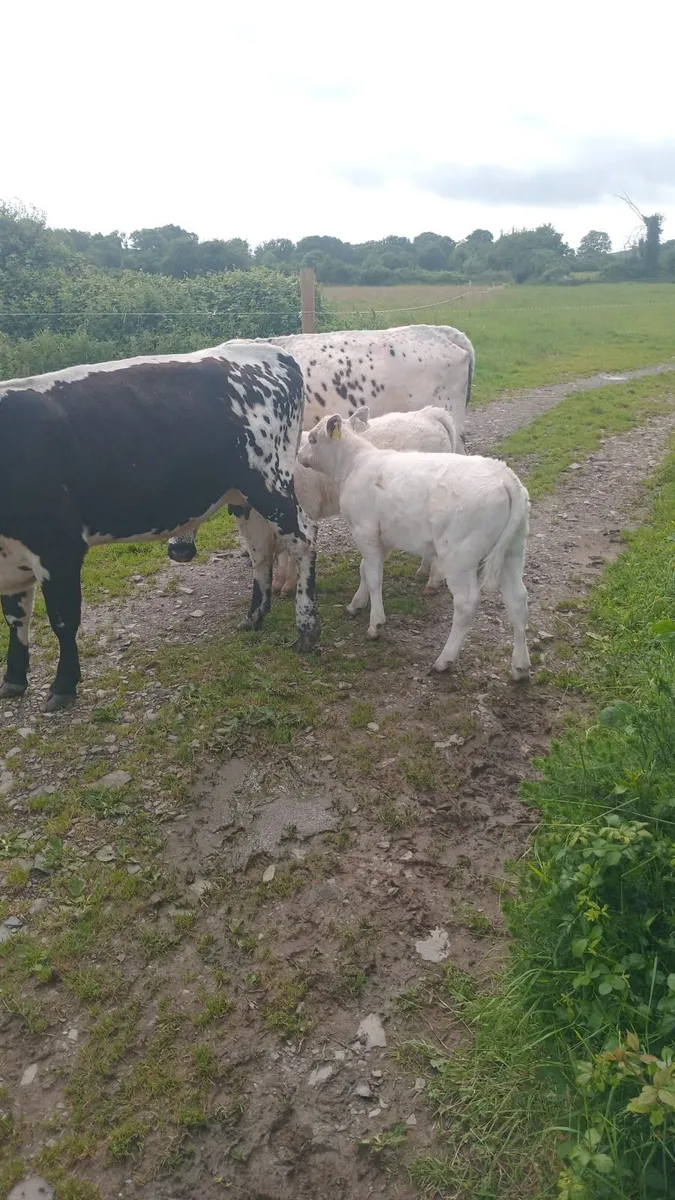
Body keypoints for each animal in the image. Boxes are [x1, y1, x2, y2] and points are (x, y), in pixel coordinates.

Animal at [0, 343, 320, 712]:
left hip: (270, 481)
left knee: (303, 538)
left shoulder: (58, 546)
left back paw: (307, 628)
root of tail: (271, 352)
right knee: (260, 552)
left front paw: (63, 686)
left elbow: (63, 620)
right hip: (243, 495)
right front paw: (13, 680)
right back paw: (254, 618)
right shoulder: (12, 557)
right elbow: (15, 617)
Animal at [297, 413, 531, 680]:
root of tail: (505, 477)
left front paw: (376, 624)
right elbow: (364, 569)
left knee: (466, 604)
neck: (355, 465)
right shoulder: (380, 536)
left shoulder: (364, 530)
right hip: (513, 550)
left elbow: (374, 577)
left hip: (459, 556)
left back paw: (444, 660)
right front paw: (356, 604)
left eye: (313, 439)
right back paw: (520, 667)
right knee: (517, 600)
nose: (299, 455)